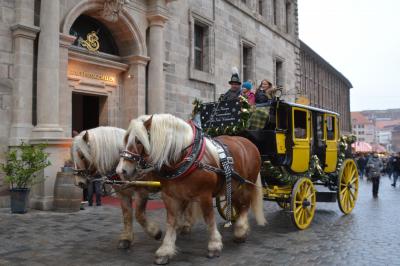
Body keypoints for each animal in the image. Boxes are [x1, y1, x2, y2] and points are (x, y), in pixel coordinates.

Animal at [115, 114, 266, 264]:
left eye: (139, 141)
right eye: (126, 139)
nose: (121, 170)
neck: (185, 158)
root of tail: (247, 142)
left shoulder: (205, 195)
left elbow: (209, 218)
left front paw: (214, 245)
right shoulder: (170, 196)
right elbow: (171, 221)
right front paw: (165, 250)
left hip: (246, 185)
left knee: (245, 206)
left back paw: (240, 231)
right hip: (233, 188)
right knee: (237, 205)